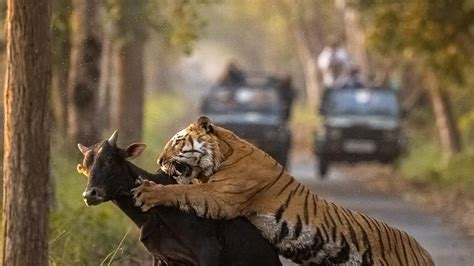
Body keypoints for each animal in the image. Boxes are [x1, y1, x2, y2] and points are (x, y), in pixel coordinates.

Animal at [132, 117, 434, 266]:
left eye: (177, 142)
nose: (158, 160)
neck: (225, 153)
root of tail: (423, 252)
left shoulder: (222, 198)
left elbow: (181, 193)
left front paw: (149, 191)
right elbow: (186, 188)